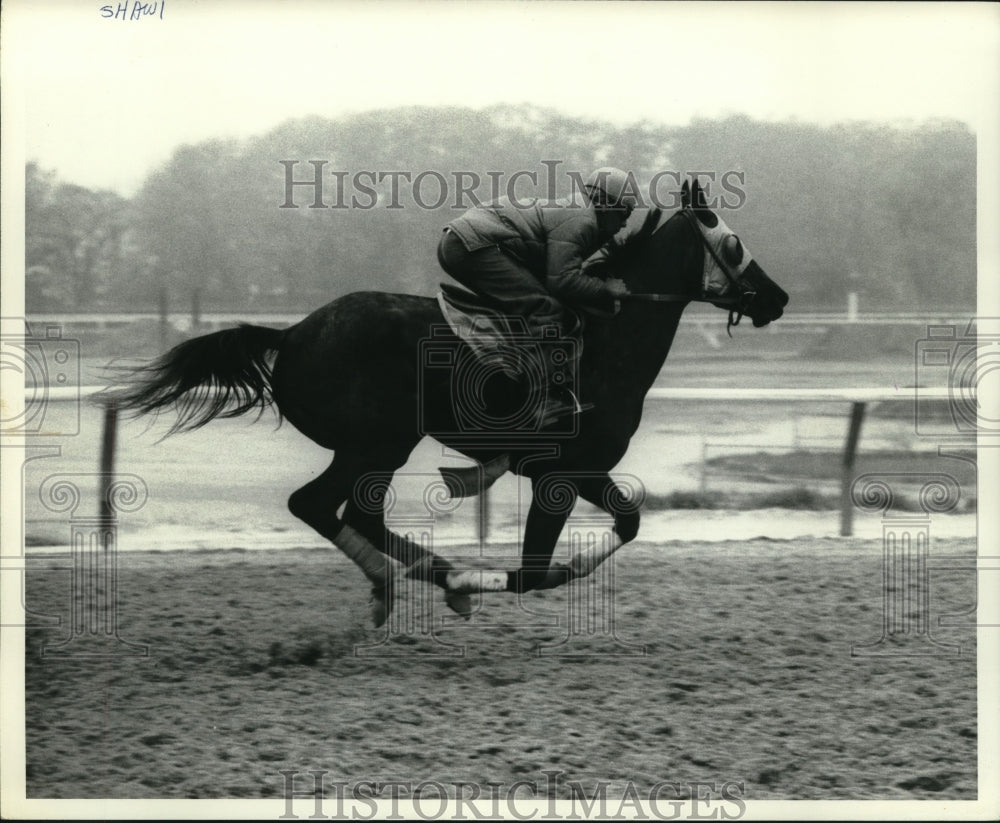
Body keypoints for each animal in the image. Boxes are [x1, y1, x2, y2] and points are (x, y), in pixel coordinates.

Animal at [108, 179, 788, 626]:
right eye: (732, 244)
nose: (778, 298)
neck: (604, 343)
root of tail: (292, 333)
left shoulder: (577, 470)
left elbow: (629, 521)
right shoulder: (559, 473)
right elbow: (535, 569)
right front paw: (490, 577)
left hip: (377, 447)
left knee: (354, 516)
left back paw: (416, 581)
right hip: (376, 441)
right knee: (324, 507)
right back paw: (423, 580)